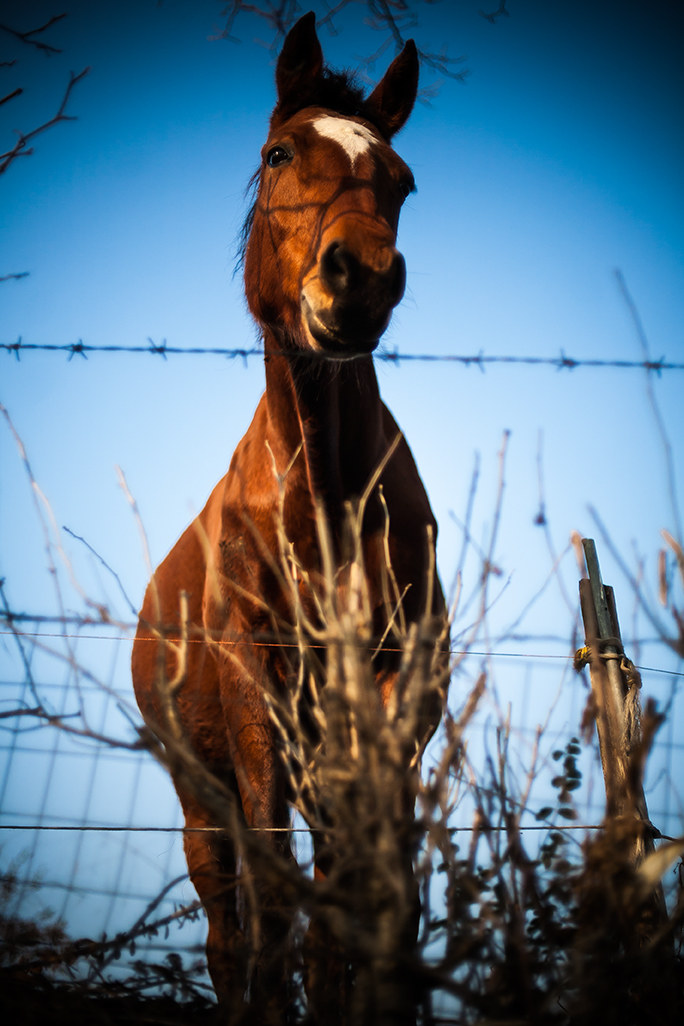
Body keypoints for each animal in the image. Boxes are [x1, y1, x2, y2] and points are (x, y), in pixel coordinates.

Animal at [132, 12, 447, 1022]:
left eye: (402, 180)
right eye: (278, 154)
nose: (361, 281)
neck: (329, 499)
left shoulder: (394, 699)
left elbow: (371, 893)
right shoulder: (255, 694)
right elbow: (277, 900)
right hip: (203, 798)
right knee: (228, 927)